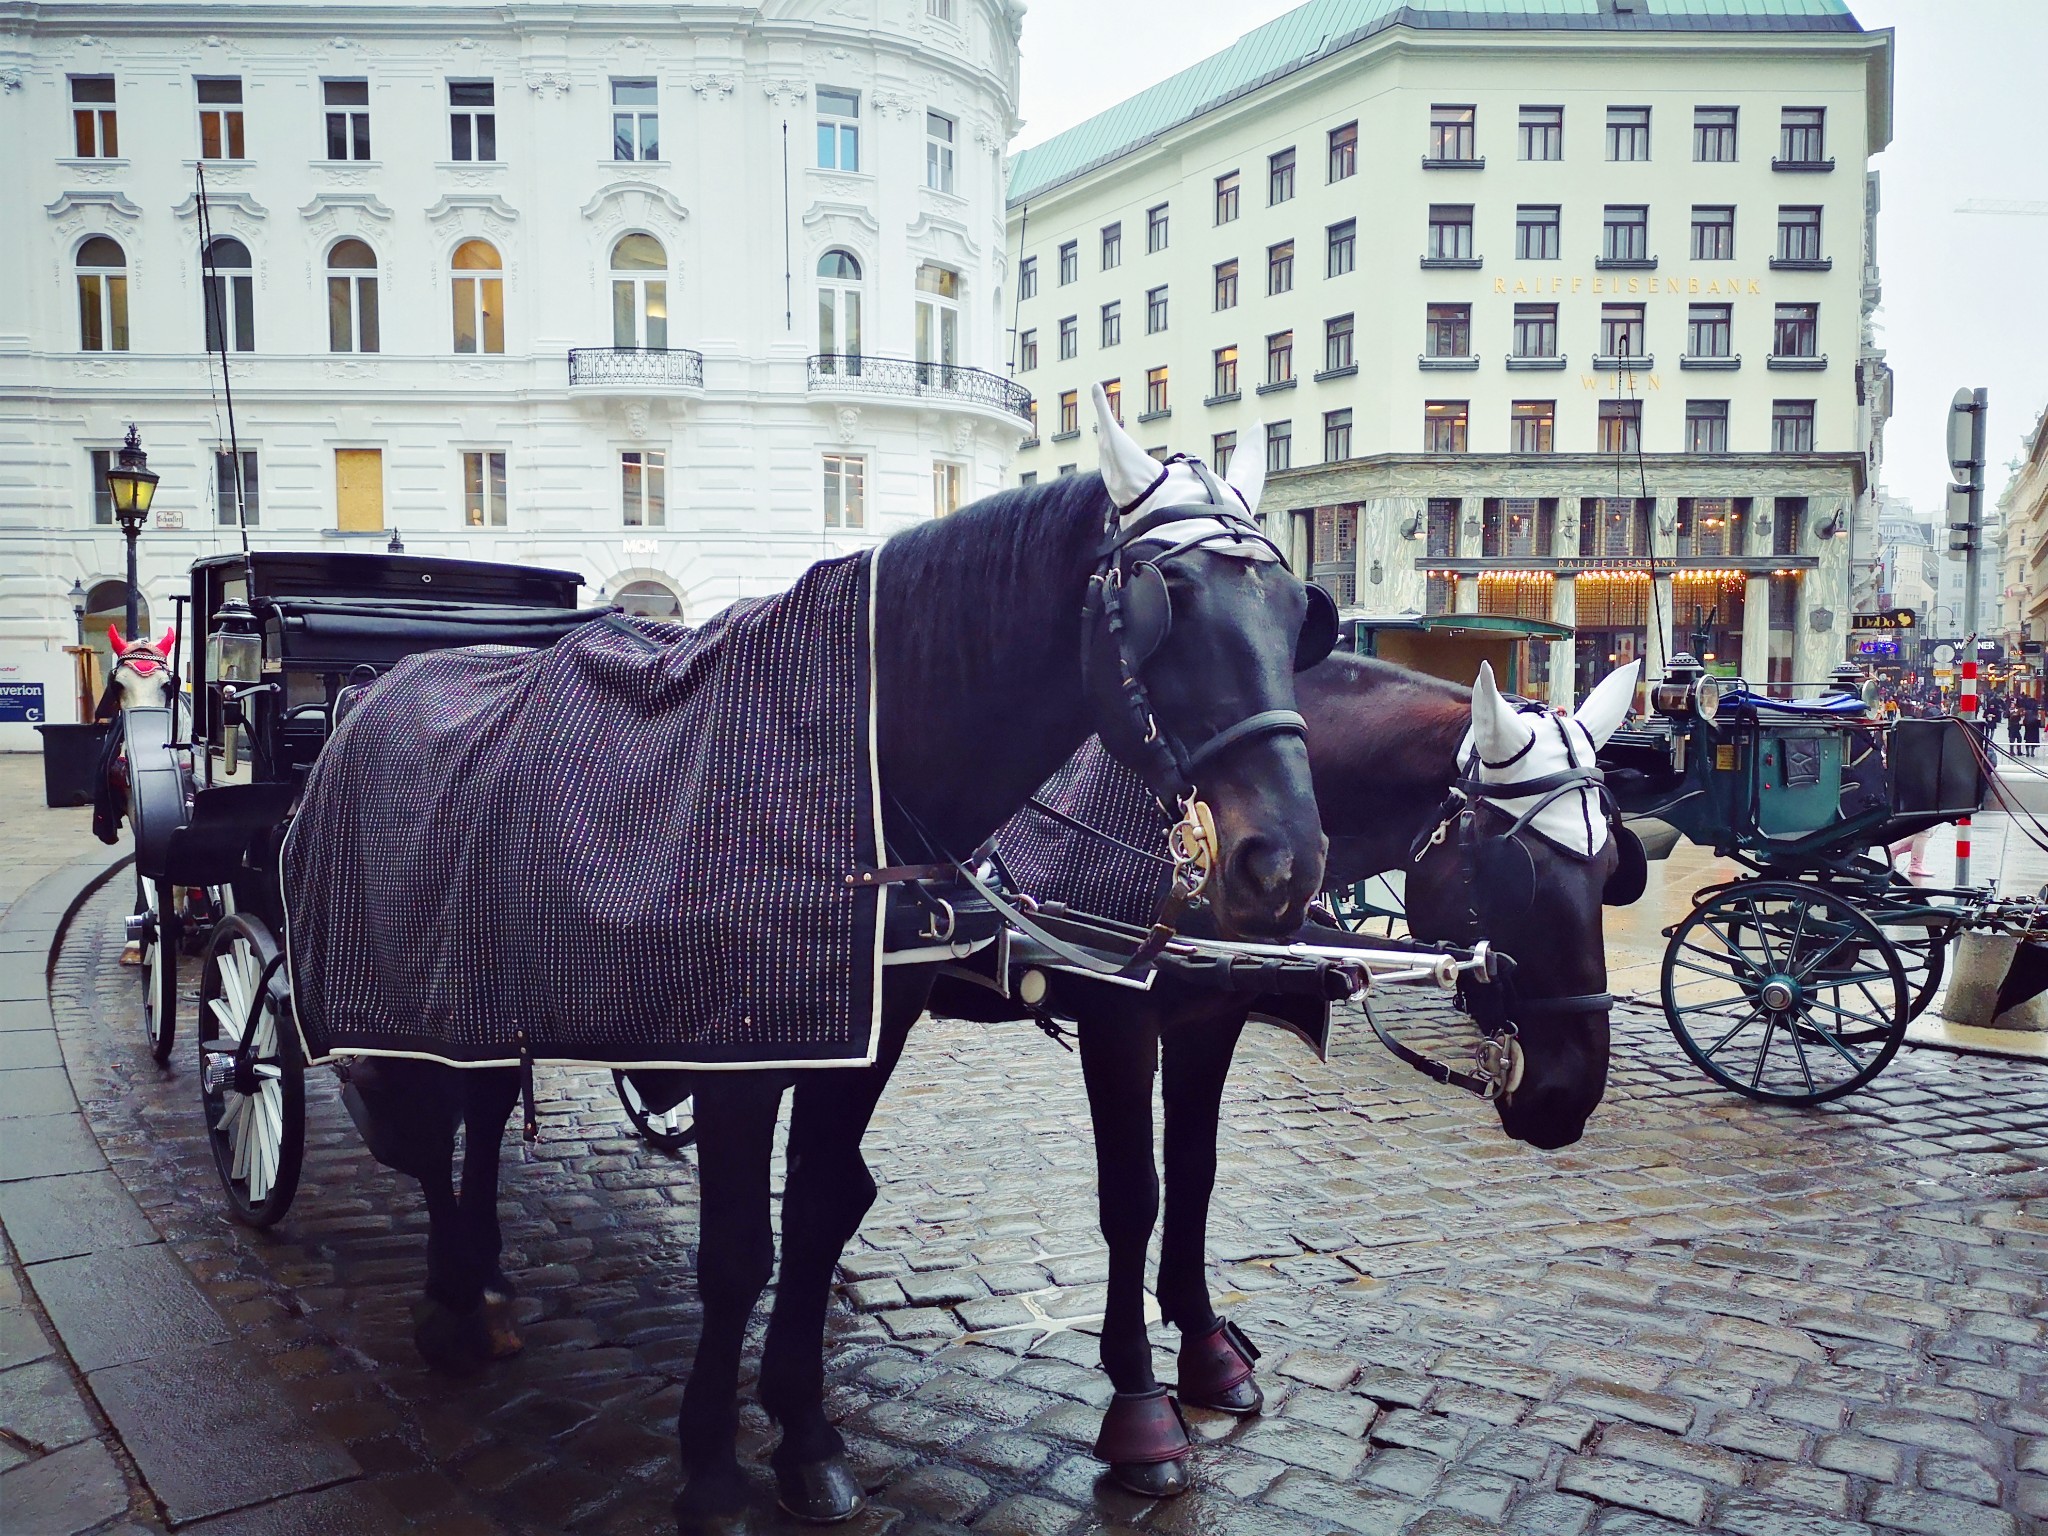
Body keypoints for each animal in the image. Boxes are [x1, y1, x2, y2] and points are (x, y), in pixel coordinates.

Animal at [321, 387, 1335, 1531]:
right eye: (1170, 600)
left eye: (1294, 615)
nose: (1282, 860)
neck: (852, 774)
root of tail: (383, 679)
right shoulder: (738, 1048)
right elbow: (736, 1254)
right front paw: (713, 1467)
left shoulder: (866, 1034)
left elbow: (815, 1213)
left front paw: (804, 1435)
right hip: (432, 983)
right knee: (441, 1119)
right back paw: (453, 1294)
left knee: (483, 1110)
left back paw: (481, 1283)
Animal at [937, 647, 1638, 1490]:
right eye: (1518, 871)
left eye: (1613, 867)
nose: (1570, 1093)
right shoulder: (1118, 1016)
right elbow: (1133, 1199)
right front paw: (1138, 1400)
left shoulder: (1210, 1015)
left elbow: (1196, 1172)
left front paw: (1207, 1350)